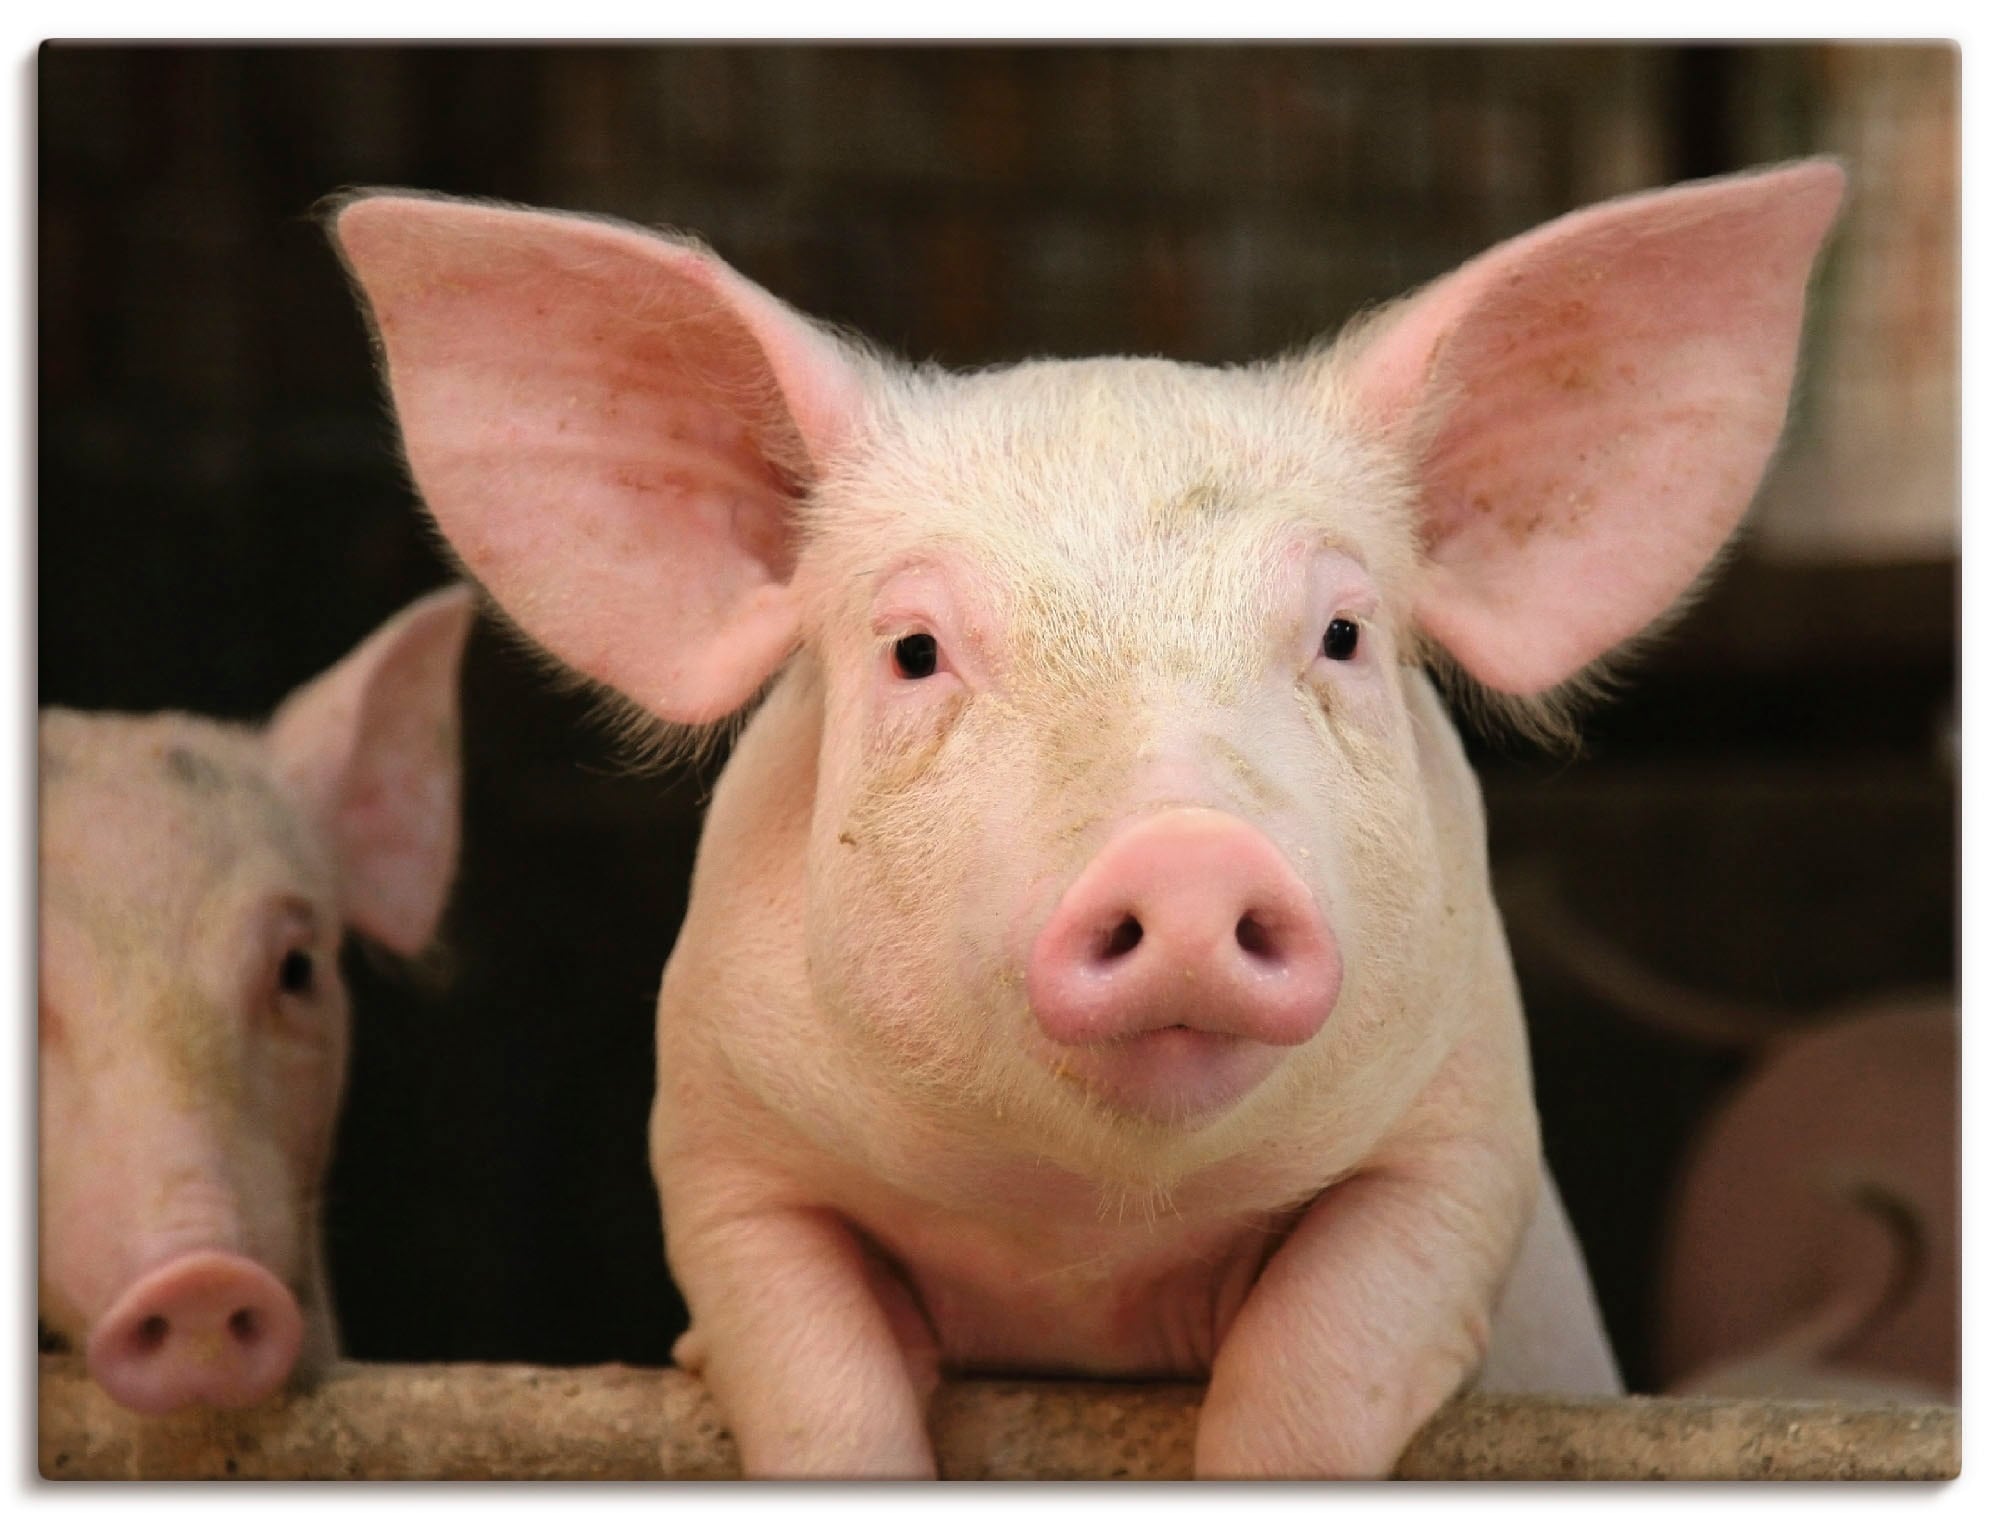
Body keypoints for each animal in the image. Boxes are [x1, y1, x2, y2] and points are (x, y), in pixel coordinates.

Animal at [328, 159, 1843, 1476]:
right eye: (915, 650)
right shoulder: (718, 1144)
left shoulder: (1466, 1135)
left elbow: (1321, 1357)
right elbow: (814, 1374)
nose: (1185, 853)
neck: (1089, 1242)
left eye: (1342, 632)